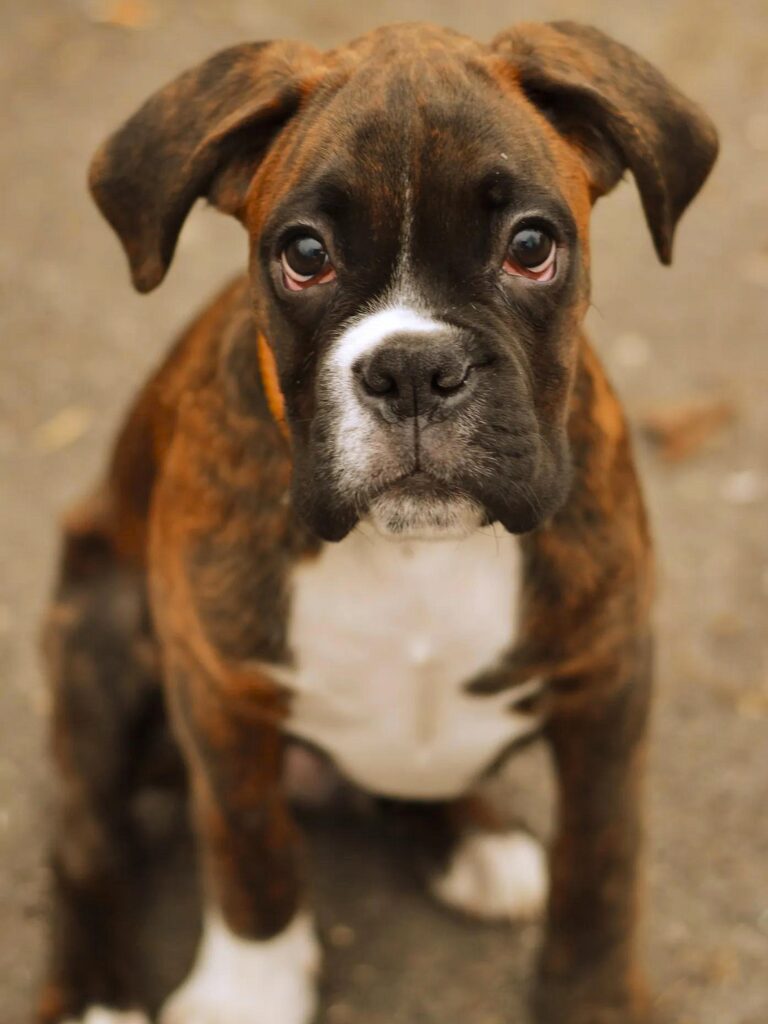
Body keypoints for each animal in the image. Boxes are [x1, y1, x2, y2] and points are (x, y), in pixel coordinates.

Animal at [39, 19, 720, 1024]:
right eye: (305, 254)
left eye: (531, 244)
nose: (411, 369)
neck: (414, 554)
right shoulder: (220, 692)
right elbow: (248, 850)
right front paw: (250, 991)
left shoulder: (609, 682)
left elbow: (601, 864)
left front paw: (590, 998)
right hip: (99, 629)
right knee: (87, 841)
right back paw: (92, 990)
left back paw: (473, 839)